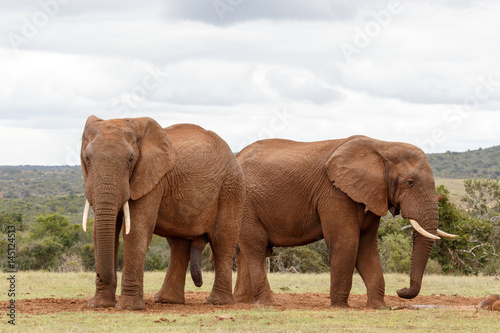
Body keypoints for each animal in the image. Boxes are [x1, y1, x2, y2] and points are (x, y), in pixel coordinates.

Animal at [80, 116, 244, 308]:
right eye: (87, 159)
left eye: (130, 160)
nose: (101, 277)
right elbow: (102, 233)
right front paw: (99, 305)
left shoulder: (152, 179)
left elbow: (136, 231)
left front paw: (128, 307)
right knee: (179, 244)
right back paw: (167, 300)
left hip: (231, 187)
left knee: (222, 241)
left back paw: (217, 302)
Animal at [234, 135, 458, 308]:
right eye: (410, 183)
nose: (401, 290)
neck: (383, 146)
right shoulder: (334, 193)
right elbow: (347, 242)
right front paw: (340, 307)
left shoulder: (371, 194)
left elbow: (366, 247)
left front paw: (380, 307)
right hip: (245, 202)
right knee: (256, 246)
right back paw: (268, 304)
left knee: (246, 250)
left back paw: (243, 302)